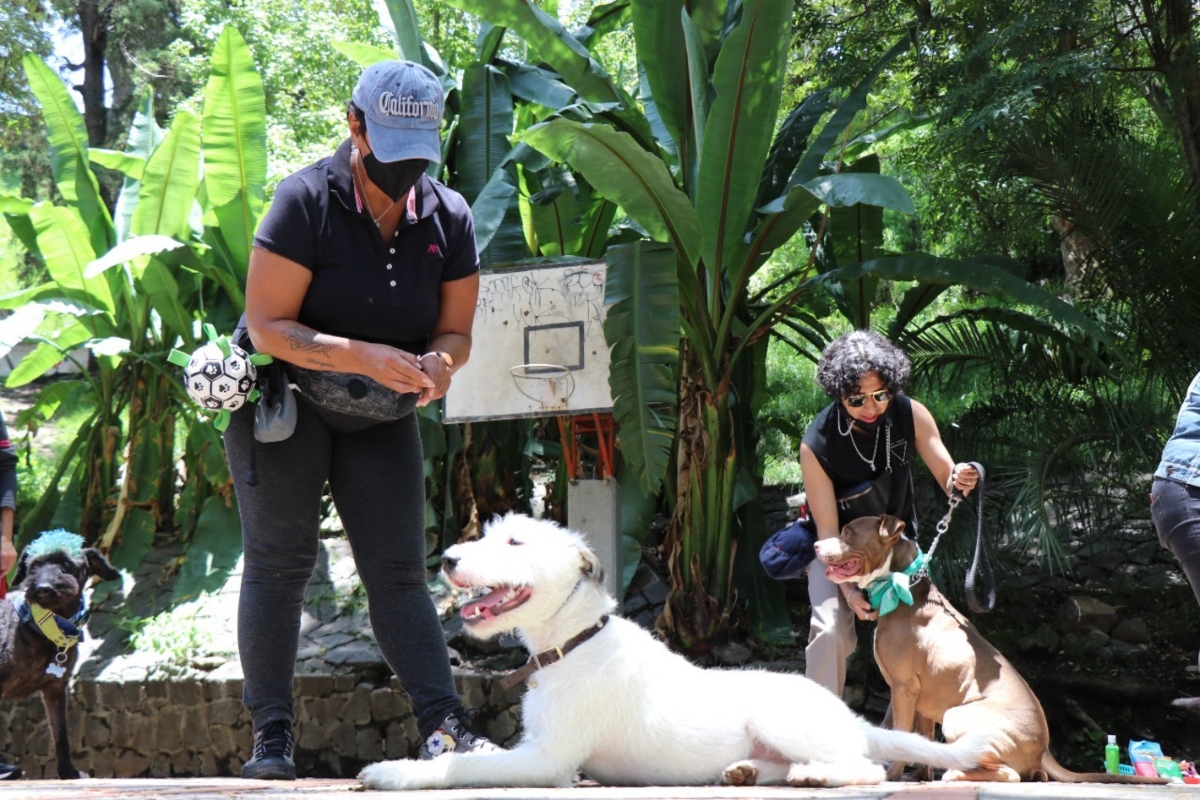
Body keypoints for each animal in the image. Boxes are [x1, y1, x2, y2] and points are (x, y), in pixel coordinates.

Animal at [0, 527, 119, 777]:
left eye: (66, 564)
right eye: (34, 565)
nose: (44, 588)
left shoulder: (55, 688)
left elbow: (61, 735)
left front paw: (68, 771)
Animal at [357, 515, 993, 791]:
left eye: (514, 542)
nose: (447, 560)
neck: (573, 642)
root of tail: (852, 718)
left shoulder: (548, 759)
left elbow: (460, 764)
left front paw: (394, 770)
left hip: (783, 717)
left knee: (865, 767)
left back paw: (814, 775)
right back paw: (747, 770)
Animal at [811, 515, 1166, 786]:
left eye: (848, 531)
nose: (815, 545)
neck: (902, 586)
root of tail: (1043, 748)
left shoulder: (902, 689)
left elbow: (901, 731)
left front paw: (895, 774)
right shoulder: (920, 699)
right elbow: (921, 741)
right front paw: (918, 775)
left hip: (959, 716)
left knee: (1008, 773)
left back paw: (955, 773)